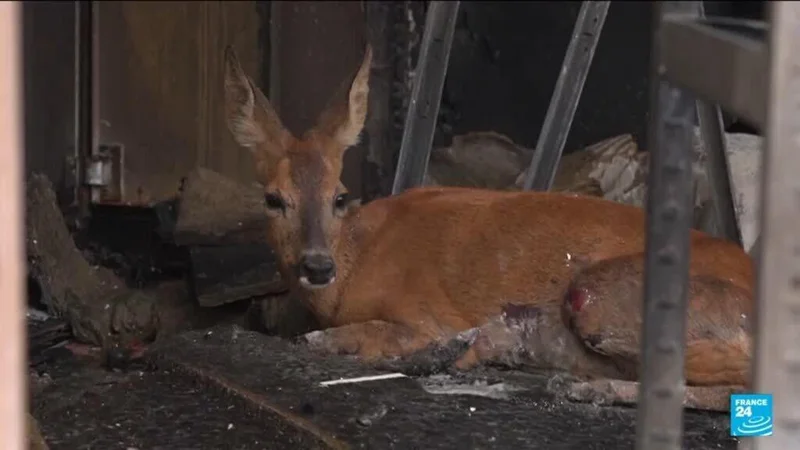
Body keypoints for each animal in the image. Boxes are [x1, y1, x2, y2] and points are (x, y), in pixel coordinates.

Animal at [223, 45, 753, 412]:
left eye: (339, 196)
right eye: (273, 200)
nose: (317, 266)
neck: (353, 268)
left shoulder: (423, 312)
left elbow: (334, 339)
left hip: (601, 294)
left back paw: (589, 385)